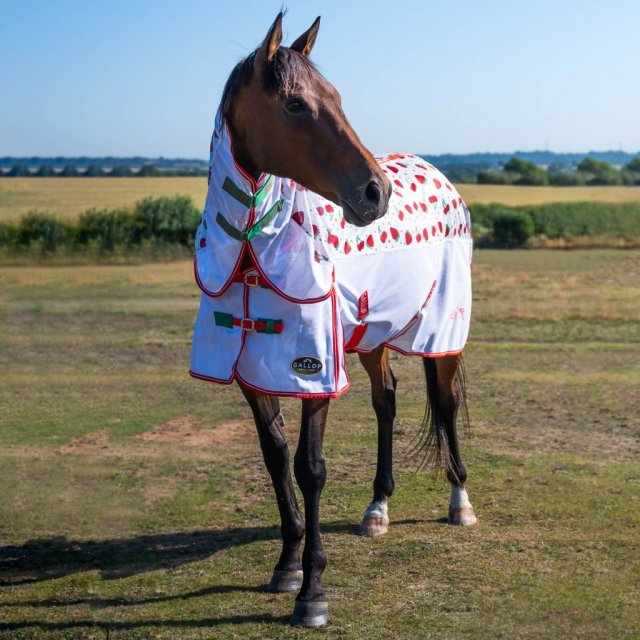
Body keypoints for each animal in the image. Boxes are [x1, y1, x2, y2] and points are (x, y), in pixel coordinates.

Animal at [188, 12, 478, 628]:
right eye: (296, 105)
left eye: (338, 98)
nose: (376, 192)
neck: (252, 251)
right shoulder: (254, 374)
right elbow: (276, 458)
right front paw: (287, 566)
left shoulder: (314, 370)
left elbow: (310, 467)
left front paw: (313, 592)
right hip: (371, 337)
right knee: (386, 399)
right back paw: (378, 507)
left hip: (442, 337)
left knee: (445, 404)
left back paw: (460, 501)